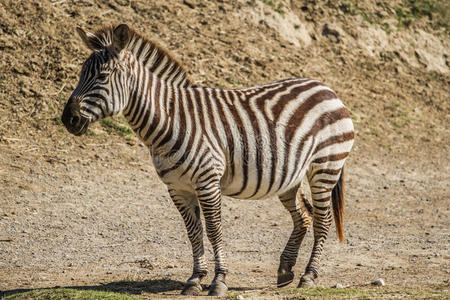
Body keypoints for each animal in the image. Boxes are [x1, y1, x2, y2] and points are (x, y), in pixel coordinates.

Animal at [60, 24, 356, 296]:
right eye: (80, 74)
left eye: (102, 76)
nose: (67, 119)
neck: (170, 119)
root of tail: (326, 88)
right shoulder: (177, 188)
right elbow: (194, 232)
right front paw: (194, 279)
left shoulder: (207, 180)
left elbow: (214, 229)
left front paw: (219, 280)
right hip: (290, 178)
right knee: (303, 216)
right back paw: (285, 270)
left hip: (325, 167)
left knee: (322, 220)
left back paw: (309, 275)